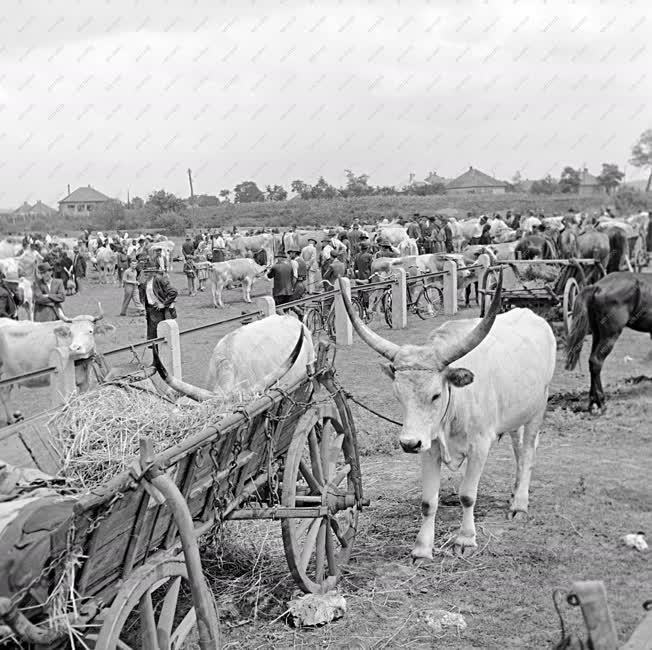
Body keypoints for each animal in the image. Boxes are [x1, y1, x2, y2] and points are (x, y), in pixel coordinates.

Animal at [336, 276, 556, 556]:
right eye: (398, 395)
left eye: (436, 395)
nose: (408, 443)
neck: (455, 408)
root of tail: (533, 316)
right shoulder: (429, 446)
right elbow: (428, 502)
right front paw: (422, 549)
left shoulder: (480, 445)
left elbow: (467, 496)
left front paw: (465, 540)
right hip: (516, 413)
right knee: (518, 450)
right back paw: (515, 493)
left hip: (538, 408)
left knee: (527, 452)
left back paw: (519, 504)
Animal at [564, 270, 652, 412]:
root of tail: (597, 286)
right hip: (610, 336)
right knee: (596, 361)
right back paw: (601, 401)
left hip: (597, 334)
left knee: (592, 362)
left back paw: (593, 401)